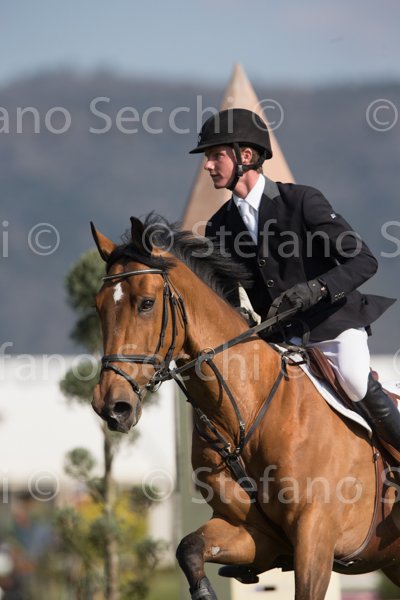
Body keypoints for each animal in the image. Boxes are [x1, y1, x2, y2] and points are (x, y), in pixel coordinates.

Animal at [91, 215, 400, 600]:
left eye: (146, 304)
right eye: (98, 306)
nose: (111, 406)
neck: (244, 416)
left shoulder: (315, 536)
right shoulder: (253, 534)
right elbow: (189, 548)